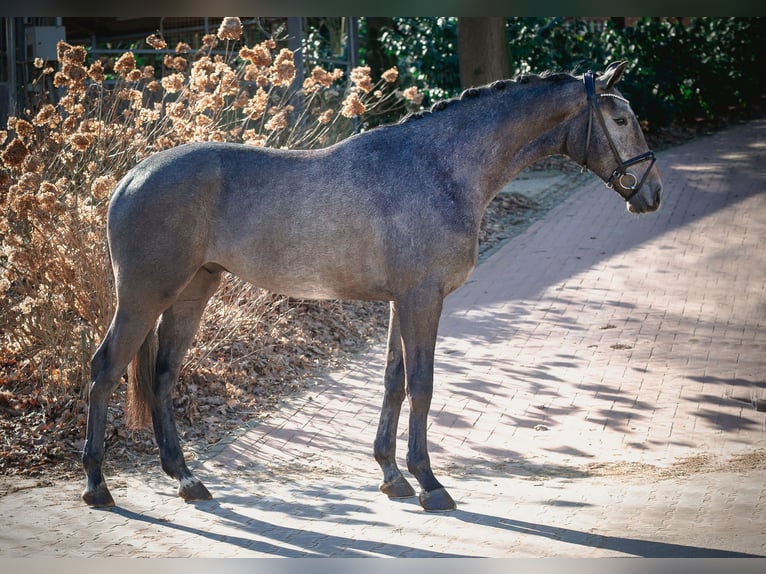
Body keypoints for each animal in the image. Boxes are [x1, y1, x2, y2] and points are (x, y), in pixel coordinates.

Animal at [82, 62, 660, 512]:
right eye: (621, 119)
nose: (652, 193)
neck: (439, 168)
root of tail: (129, 178)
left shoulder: (401, 303)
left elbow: (393, 383)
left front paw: (391, 476)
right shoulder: (423, 299)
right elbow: (423, 387)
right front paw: (430, 483)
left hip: (191, 293)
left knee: (161, 376)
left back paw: (186, 479)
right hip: (144, 297)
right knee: (105, 369)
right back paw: (97, 486)